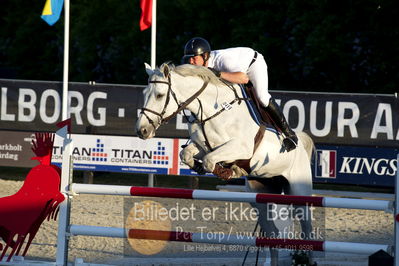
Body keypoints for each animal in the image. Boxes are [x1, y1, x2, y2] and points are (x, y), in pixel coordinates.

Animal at [137, 62, 316, 266]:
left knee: (307, 230)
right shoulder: (205, 146)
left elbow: (210, 160)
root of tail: (301, 145)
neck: (211, 110)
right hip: (261, 196)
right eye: (145, 93)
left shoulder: (241, 148)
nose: (142, 130)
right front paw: (203, 167)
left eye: (159, 95)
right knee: (272, 233)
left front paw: (228, 171)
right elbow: (188, 154)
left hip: (299, 191)